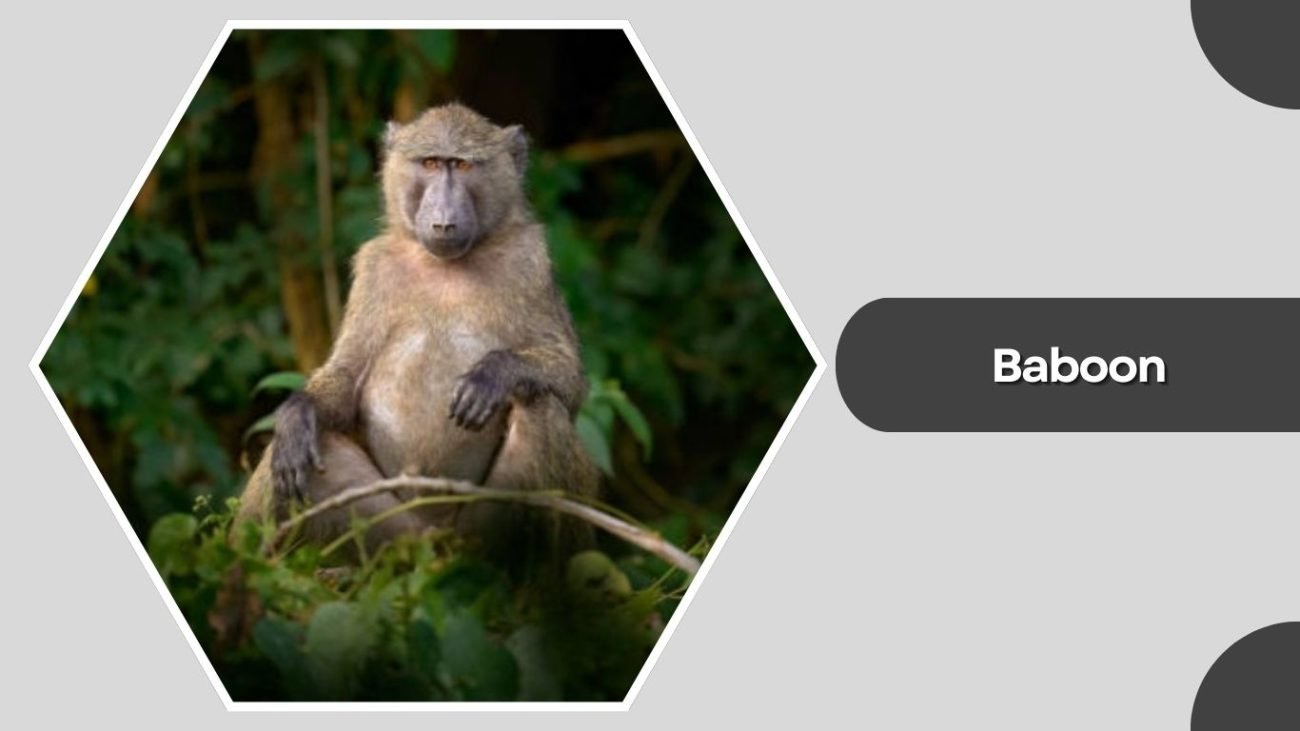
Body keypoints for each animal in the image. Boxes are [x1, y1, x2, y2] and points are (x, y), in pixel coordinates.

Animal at [237, 103, 599, 567]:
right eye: (429, 163)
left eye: (461, 165)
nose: (443, 222)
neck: (445, 265)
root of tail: (435, 542)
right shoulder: (374, 268)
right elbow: (345, 381)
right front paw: (298, 414)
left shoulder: (530, 261)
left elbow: (571, 385)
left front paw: (492, 375)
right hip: (386, 533)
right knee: (295, 454)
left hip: (481, 533)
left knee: (541, 411)